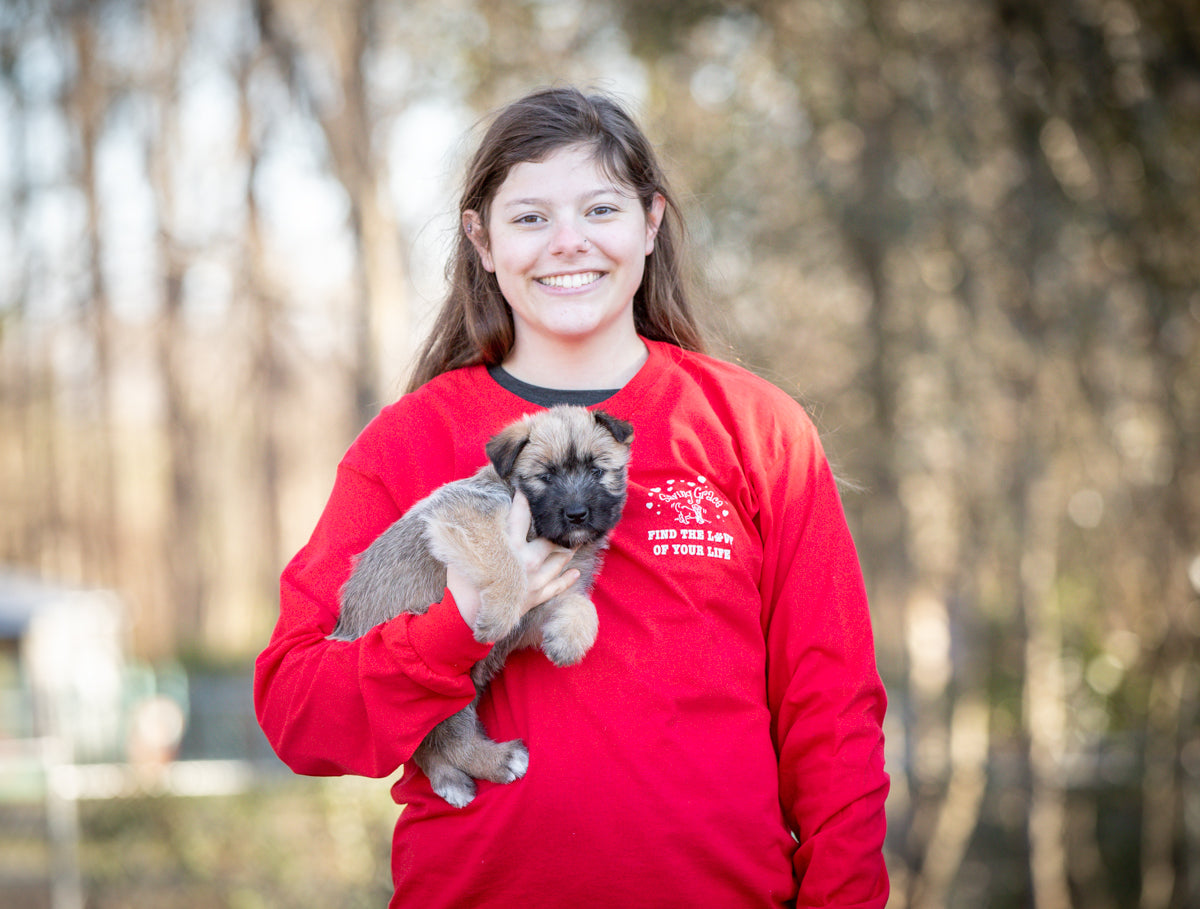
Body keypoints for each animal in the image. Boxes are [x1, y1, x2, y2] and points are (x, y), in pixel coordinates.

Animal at [324, 410, 633, 805]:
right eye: (545, 477)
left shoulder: (540, 607)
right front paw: (498, 615)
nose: (577, 514)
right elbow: (506, 562)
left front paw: (570, 639)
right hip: (442, 690)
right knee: (445, 740)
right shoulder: (467, 518)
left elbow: (582, 605)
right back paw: (499, 760)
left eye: (597, 471)